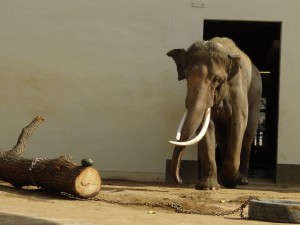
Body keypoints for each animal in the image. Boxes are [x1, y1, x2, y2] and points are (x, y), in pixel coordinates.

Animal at [168, 37, 262, 190]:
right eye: (187, 77)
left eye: (217, 80)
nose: (180, 180)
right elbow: (206, 126)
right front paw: (208, 187)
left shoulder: (238, 90)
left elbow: (238, 122)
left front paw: (231, 182)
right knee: (222, 138)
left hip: (256, 96)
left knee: (248, 135)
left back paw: (242, 180)